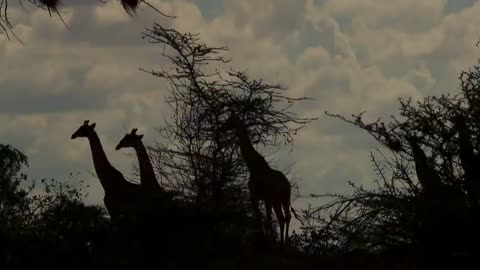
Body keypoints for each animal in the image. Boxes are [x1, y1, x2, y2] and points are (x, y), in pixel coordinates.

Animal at [222, 112, 292, 245]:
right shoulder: (265, 199)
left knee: (281, 218)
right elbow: (266, 218)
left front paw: (263, 238)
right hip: (285, 198)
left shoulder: (254, 196)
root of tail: (287, 185)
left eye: (229, 120)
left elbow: (259, 218)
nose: (223, 127)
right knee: (287, 217)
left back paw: (281, 243)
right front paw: (268, 238)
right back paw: (284, 243)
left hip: (276, 199)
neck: (252, 166)